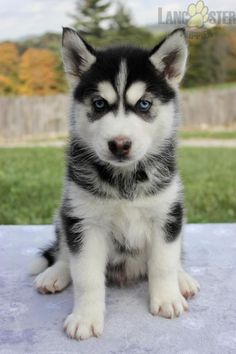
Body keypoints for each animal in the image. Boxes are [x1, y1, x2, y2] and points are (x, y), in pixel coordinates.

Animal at [29, 29, 199, 342]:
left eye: (144, 104)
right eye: (99, 104)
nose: (119, 144)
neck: (125, 179)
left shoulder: (167, 213)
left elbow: (164, 262)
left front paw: (167, 297)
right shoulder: (83, 221)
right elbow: (86, 275)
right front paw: (85, 318)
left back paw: (183, 279)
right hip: (64, 214)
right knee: (64, 251)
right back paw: (55, 273)